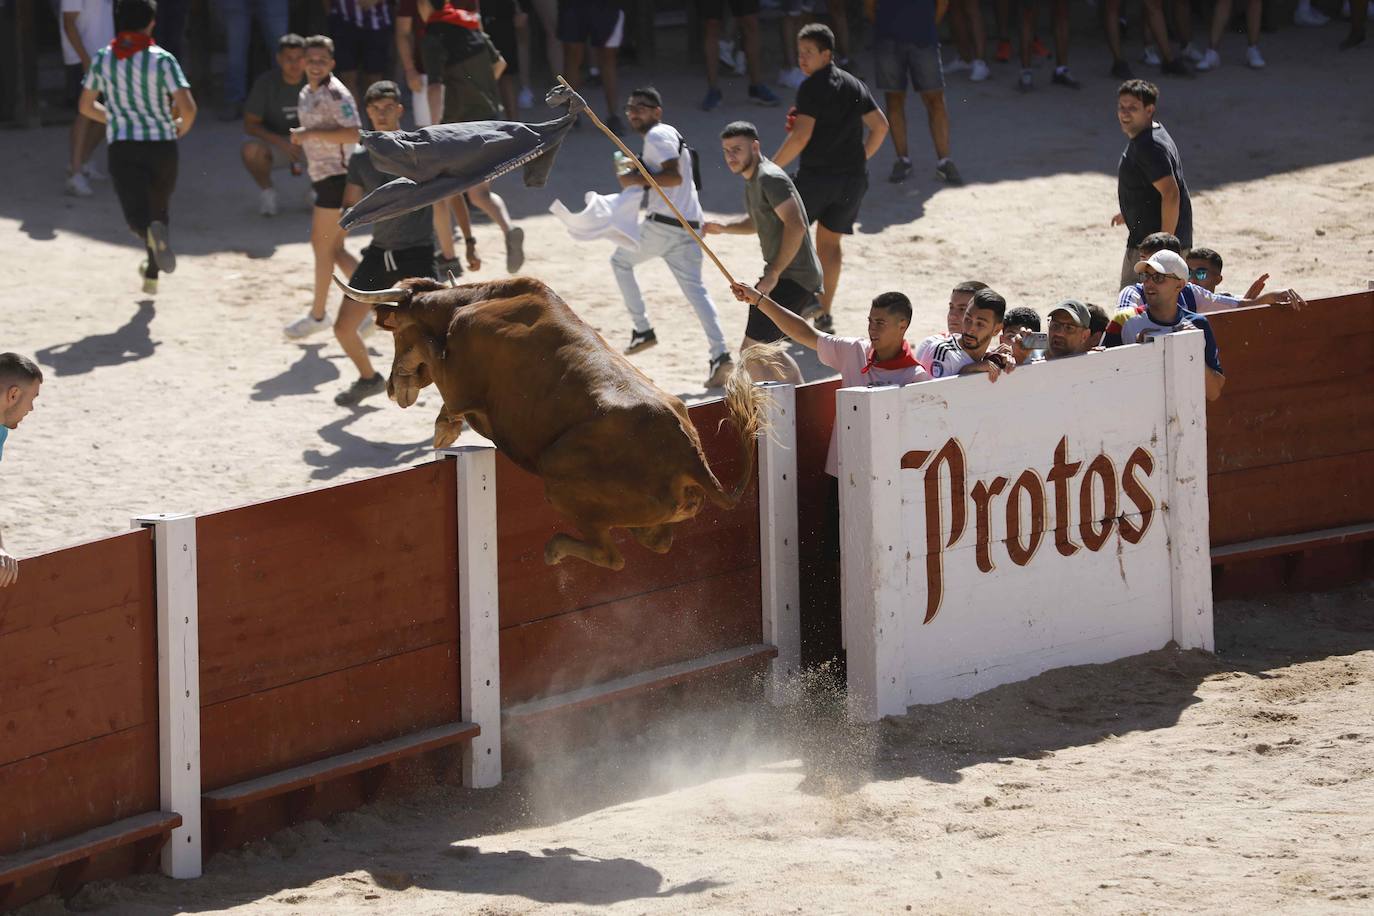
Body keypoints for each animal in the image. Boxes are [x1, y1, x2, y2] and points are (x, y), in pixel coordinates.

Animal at [336, 276, 780, 568]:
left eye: (396, 334)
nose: (392, 388)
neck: (472, 302)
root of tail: (691, 456)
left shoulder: (459, 378)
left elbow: (437, 359)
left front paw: (443, 426)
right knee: (655, 541)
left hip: (559, 481)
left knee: (610, 555)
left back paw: (554, 550)